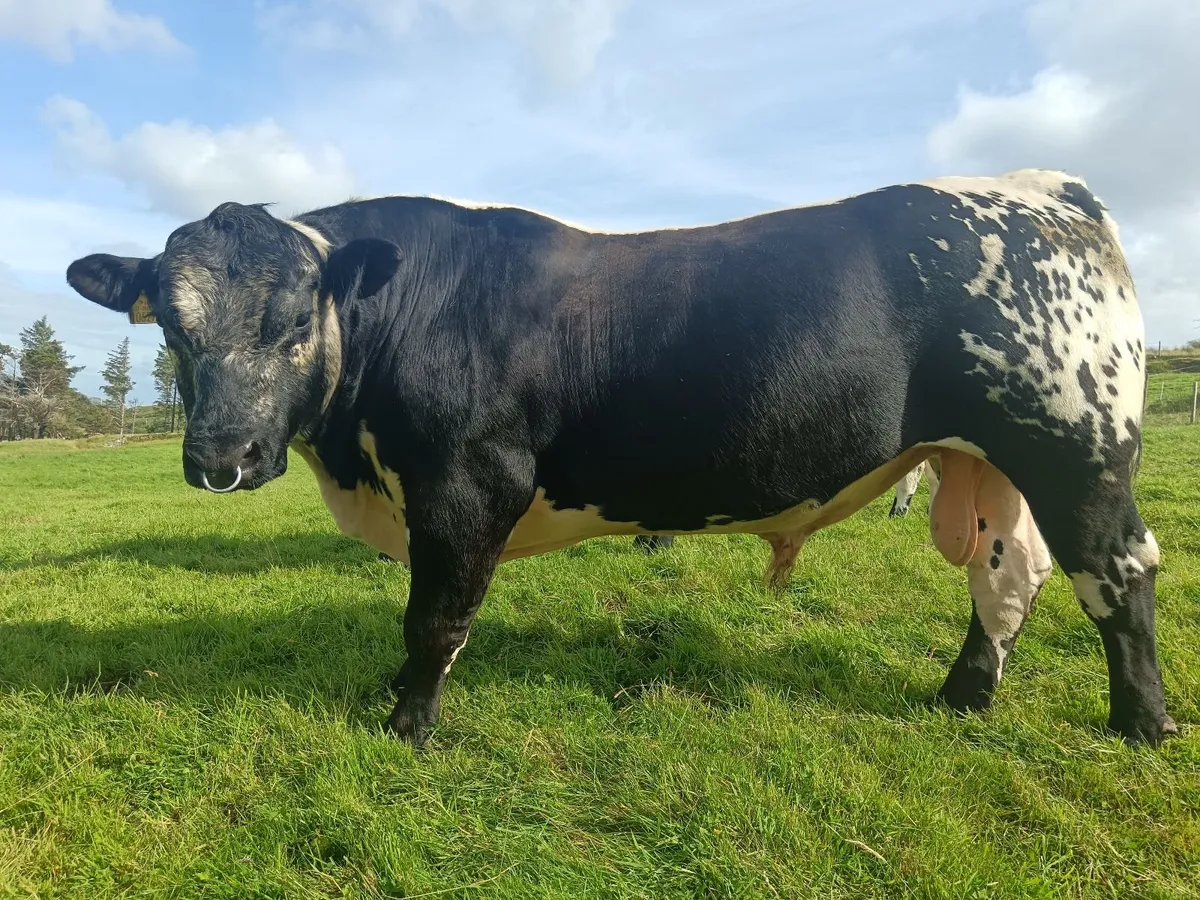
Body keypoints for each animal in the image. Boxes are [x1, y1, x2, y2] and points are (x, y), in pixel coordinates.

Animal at [64, 168, 1175, 749]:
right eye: (172, 328)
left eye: (296, 320)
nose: (222, 455)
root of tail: (1044, 189)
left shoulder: (468, 482)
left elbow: (436, 617)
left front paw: (409, 723)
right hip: (982, 463)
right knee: (1009, 575)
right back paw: (964, 695)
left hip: (1076, 448)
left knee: (1117, 573)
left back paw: (1143, 722)